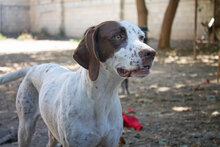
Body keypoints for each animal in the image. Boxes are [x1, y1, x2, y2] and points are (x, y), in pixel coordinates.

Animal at [0, 20, 156, 146]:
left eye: (142, 37)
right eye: (118, 36)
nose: (151, 53)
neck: (102, 95)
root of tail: (34, 67)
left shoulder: (110, 142)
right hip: (25, 128)